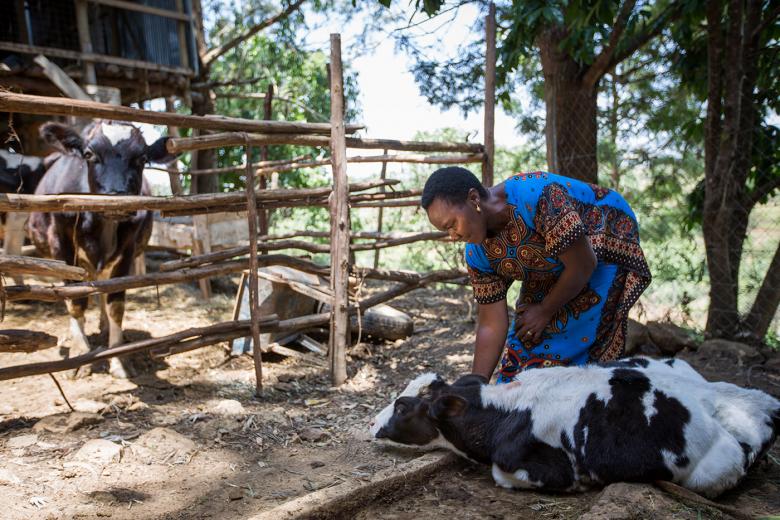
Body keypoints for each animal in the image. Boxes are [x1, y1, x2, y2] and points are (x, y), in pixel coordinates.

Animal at [29, 122, 174, 378]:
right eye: (89, 155)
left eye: (142, 158)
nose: (116, 199)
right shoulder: (62, 247)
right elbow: (75, 302)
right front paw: (80, 356)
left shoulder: (127, 251)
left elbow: (115, 304)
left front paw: (119, 360)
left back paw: (104, 326)